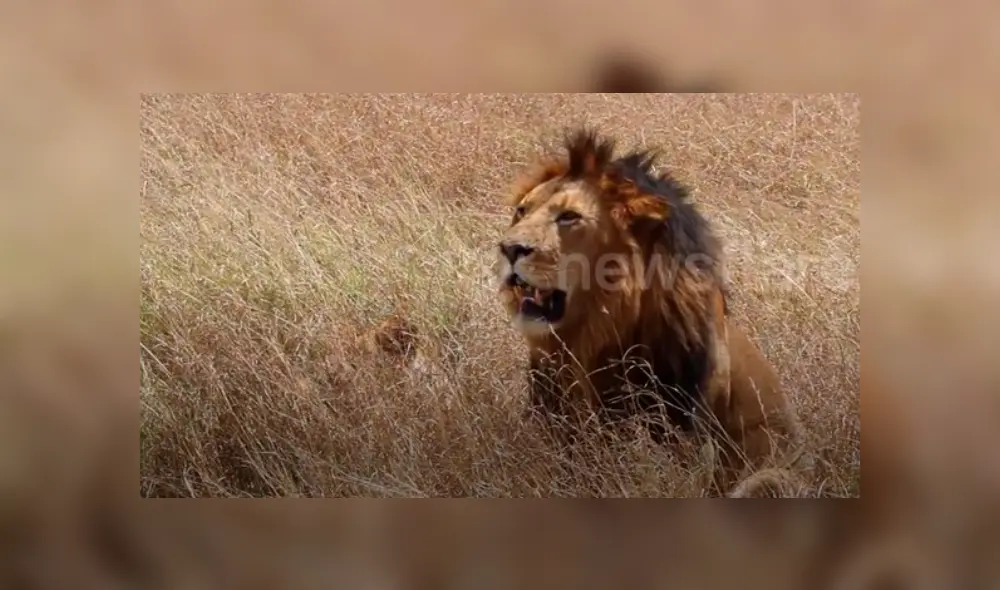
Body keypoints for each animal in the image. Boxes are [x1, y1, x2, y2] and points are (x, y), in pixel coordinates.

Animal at [496, 127, 809, 496]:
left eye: (569, 217)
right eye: (521, 211)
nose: (508, 248)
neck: (597, 334)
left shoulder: (687, 435)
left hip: (775, 476)